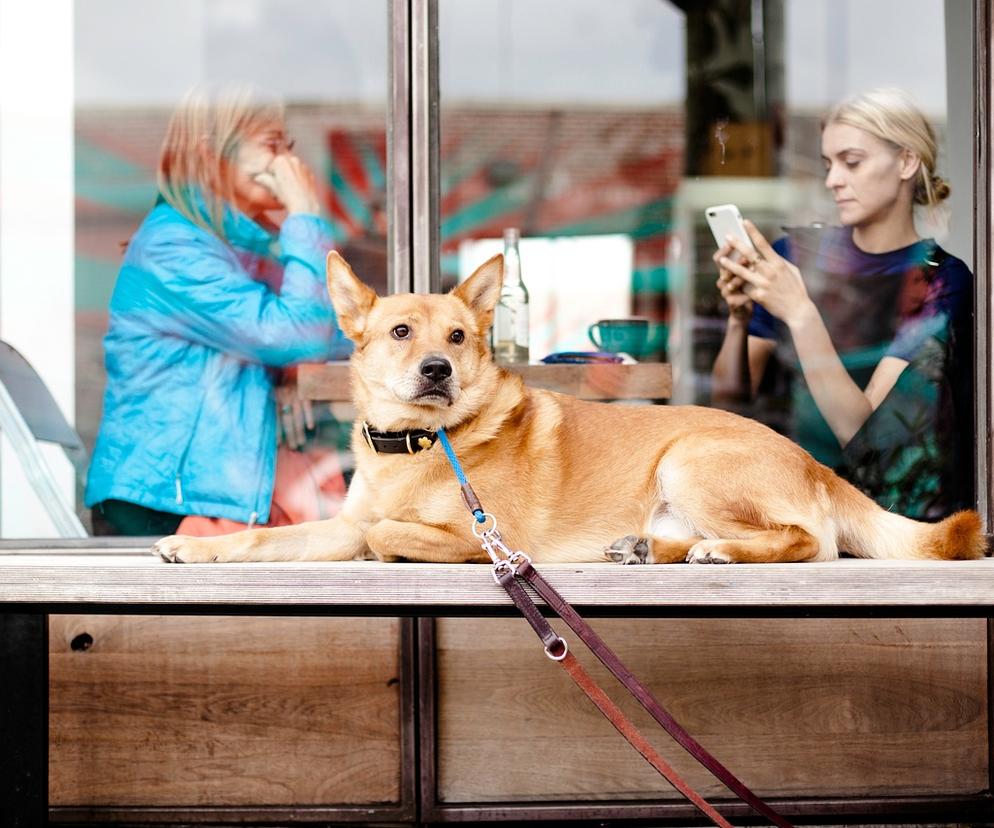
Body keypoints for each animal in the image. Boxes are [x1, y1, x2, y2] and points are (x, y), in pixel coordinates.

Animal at [155, 252, 984, 564]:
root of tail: (814, 463)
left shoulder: (481, 536)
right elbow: (271, 539)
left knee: (811, 542)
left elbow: (386, 531)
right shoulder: (335, 521)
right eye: (400, 332)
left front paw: (386, 543)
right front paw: (196, 549)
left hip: (691, 460)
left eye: (458, 336)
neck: (420, 446)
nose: (437, 368)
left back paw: (720, 552)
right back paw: (648, 550)